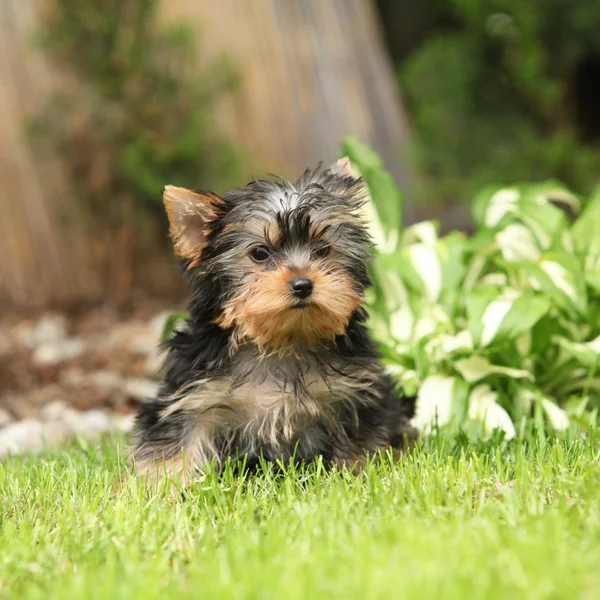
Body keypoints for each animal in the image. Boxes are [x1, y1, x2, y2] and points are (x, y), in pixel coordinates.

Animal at [131, 158, 414, 482]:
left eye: (322, 250)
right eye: (259, 253)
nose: (303, 284)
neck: (284, 341)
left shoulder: (354, 394)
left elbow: (361, 440)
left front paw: (358, 476)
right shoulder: (193, 397)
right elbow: (175, 444)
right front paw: (160, 485)